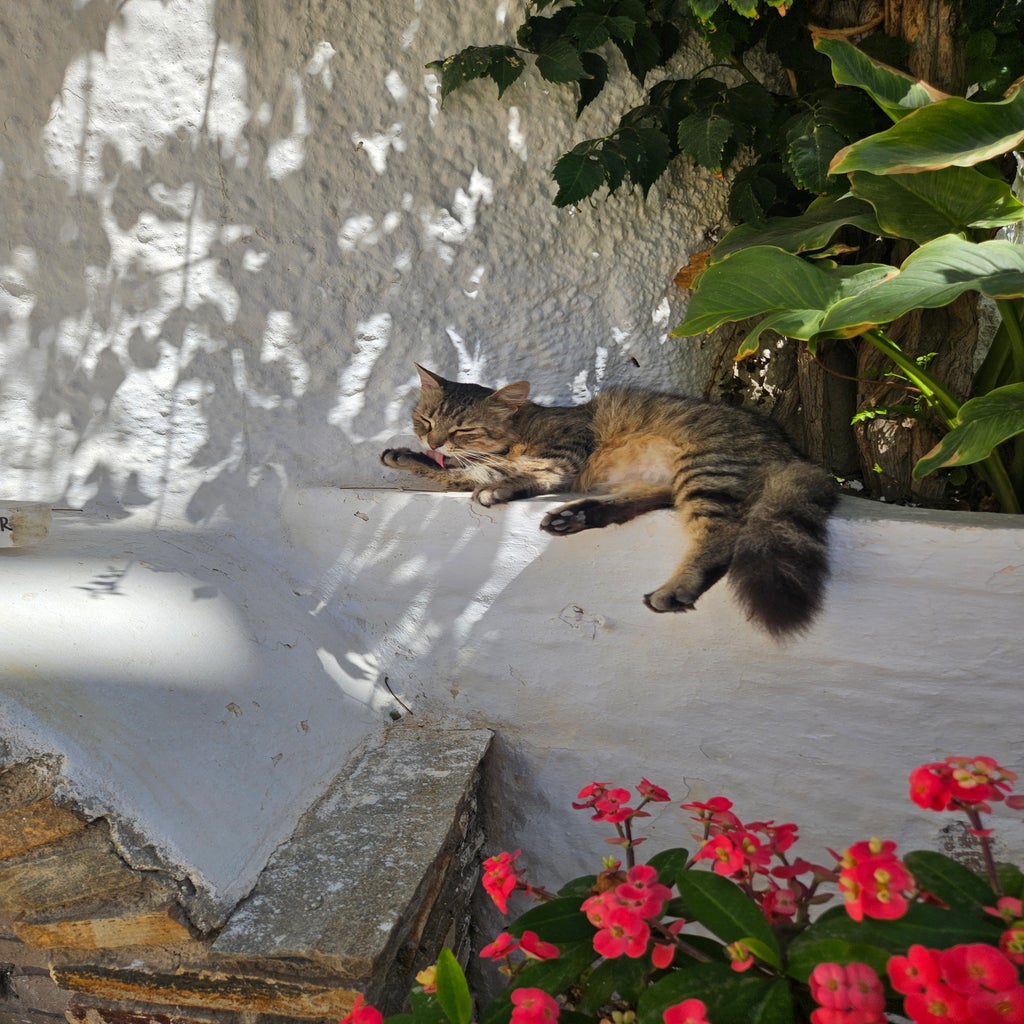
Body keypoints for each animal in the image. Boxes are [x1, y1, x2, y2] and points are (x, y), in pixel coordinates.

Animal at [380, 364, 835, 634]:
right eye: (426, 421)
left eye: (463, 431)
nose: (432, 441)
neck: (524, 427)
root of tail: (791, 451)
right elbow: (459, 471)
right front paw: (409, 457)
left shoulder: (561, 456)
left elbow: (501, 472)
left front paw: (491, 483)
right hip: (677, 479)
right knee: (641, 503)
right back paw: (574, 516)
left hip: (705, 471)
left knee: (721, 537)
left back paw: (675, 589)